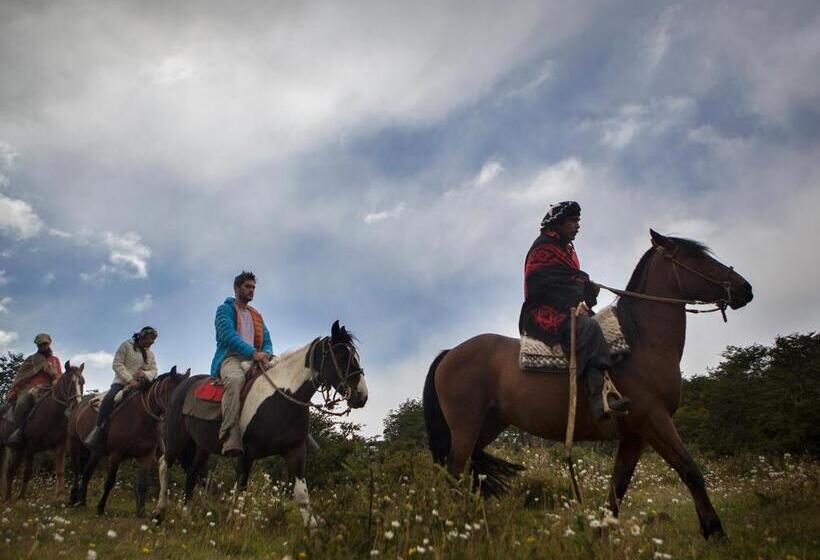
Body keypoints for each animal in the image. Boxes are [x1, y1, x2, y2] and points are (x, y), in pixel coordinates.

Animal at [0, 360, 84, 500]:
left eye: (82, 382)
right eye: (68, 381)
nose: (76, 405)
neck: (51, 415)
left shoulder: (60, 447)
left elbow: (60, 471)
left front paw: (60, 495)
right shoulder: (31, 447)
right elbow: (27, 472)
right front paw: (22, 498)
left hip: (17, 450)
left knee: (10, 470)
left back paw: (8, 498)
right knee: (10, 471)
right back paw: (8, 498)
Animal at [68, 368, 191, 516]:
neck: (142, 420)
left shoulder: (147, 457)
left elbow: (143, 484)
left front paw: (141, 512)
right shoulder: (116, 455)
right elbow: (110, 482)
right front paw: (100, 507)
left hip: (96, 452)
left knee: (87, 473)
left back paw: (82, 501)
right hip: (74, 442)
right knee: (77, 470)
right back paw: (73, 499)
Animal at [426, 230, 752, 540]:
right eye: (698, 258)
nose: (745, 289)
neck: (642, 342)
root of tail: (449, 354)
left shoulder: (635, 435)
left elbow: (617, 488)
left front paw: (601, 535)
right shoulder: (655, 420)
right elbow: (690, 470)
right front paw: (716, 532)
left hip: (488, 425)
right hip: (466, 426)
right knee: (453, 475)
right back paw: (455, 529)